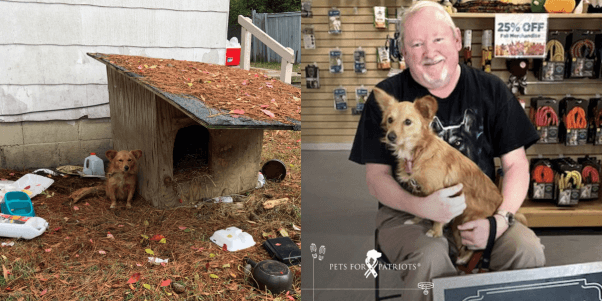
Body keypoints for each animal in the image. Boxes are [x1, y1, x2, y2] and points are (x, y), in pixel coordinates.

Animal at [370, 88, 520, 264]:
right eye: (390, 120)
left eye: (407, 122)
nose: (390, 136)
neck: (419, 152)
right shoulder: (420, 191)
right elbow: (419, 208)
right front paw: (415, 220)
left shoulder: (441, 196)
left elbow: (438, 218)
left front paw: (435, 232)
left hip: (465, 222)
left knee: (476, 247)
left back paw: (463, 258)